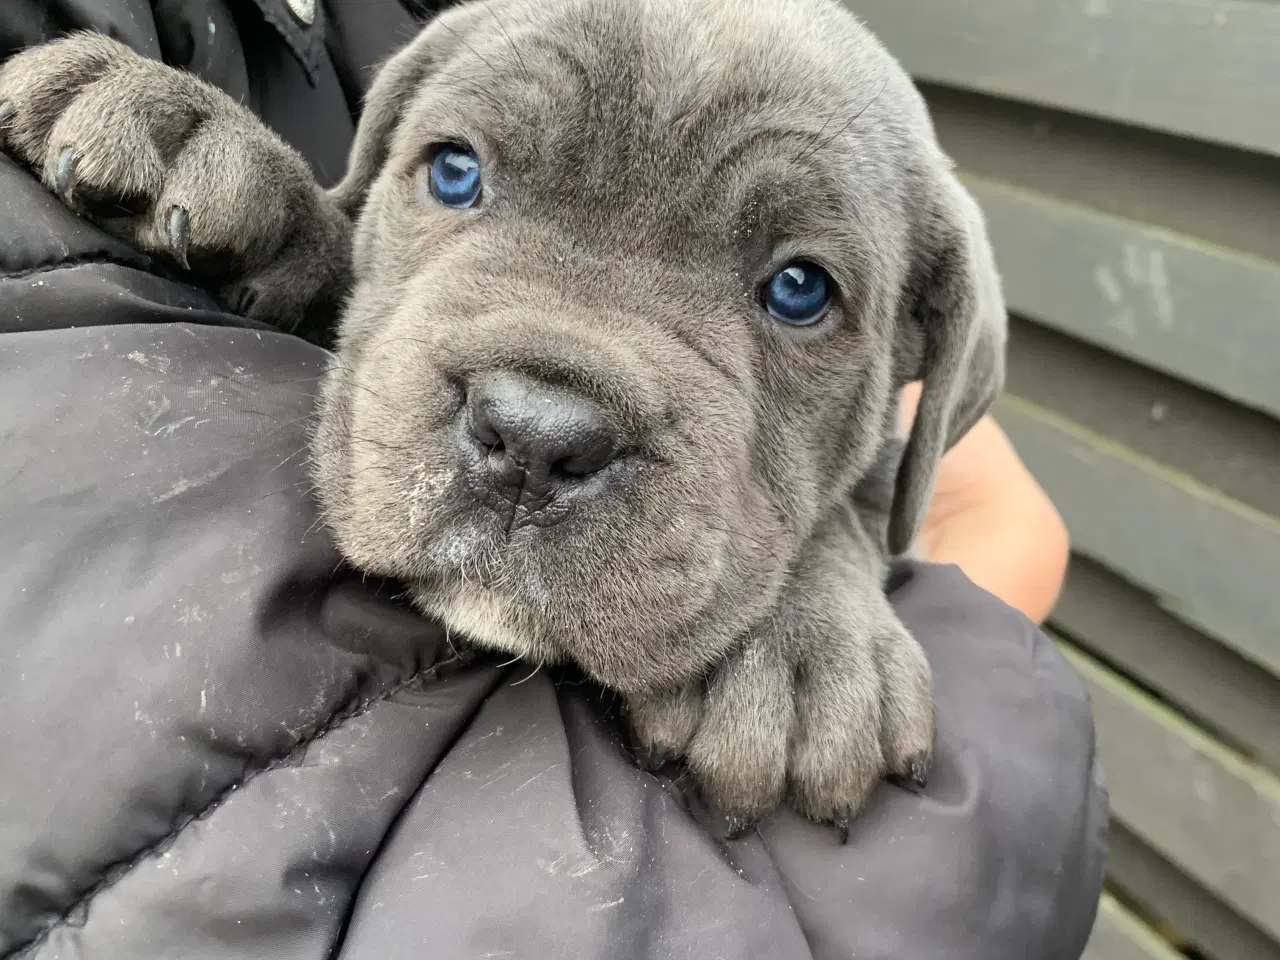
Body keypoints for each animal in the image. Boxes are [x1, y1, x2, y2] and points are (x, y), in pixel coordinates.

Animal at [0, 0, 1008, 839]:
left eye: (801, 290)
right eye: (455, 171)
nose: (535, 435)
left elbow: (844, 517)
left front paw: (797, 652)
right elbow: (341, 236)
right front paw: (203, 138)